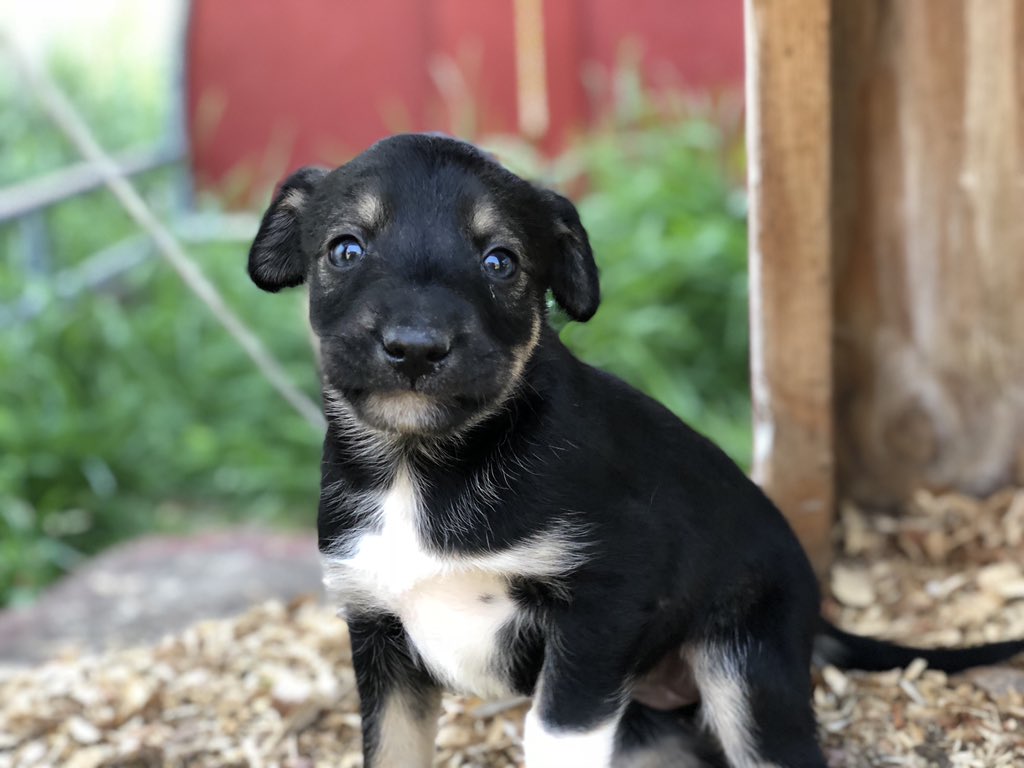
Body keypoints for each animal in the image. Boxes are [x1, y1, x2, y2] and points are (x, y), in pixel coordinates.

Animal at [249, 135, 1024, 768]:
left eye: (500, 262)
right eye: (345, 249)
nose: (414, 347)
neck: (423, 468)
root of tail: (814, 612)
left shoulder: (605, 600)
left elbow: (553, 734)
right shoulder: (379, 635)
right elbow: (391, 750)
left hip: (743, 669)